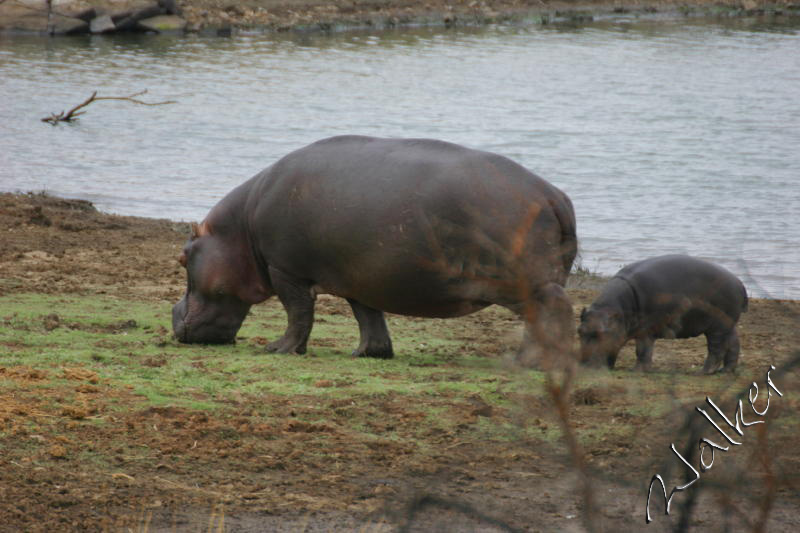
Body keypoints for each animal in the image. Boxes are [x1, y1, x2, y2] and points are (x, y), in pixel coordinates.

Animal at [172, 135, 580, 362]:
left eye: (182, 256)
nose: (173, 316)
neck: (239, 228)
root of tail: (553, 195)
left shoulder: (285, 270)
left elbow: (298, 313)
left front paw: (279, 349)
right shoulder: (358, 277)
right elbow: (368, 316)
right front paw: (368, 353)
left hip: (530, 284)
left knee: (553, 312)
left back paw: (529, 362)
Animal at [580, 255, 748, 372]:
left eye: (601, 334)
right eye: (579, 331)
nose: (584, 365)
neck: (617, 310)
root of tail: (739, 282)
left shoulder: (645, 330)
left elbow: (642, 350)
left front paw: (637, 370)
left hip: (717, 327)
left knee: (716, 349)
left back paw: (704, 372)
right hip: (728, 325)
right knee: (734, 344)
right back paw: (726, 370)